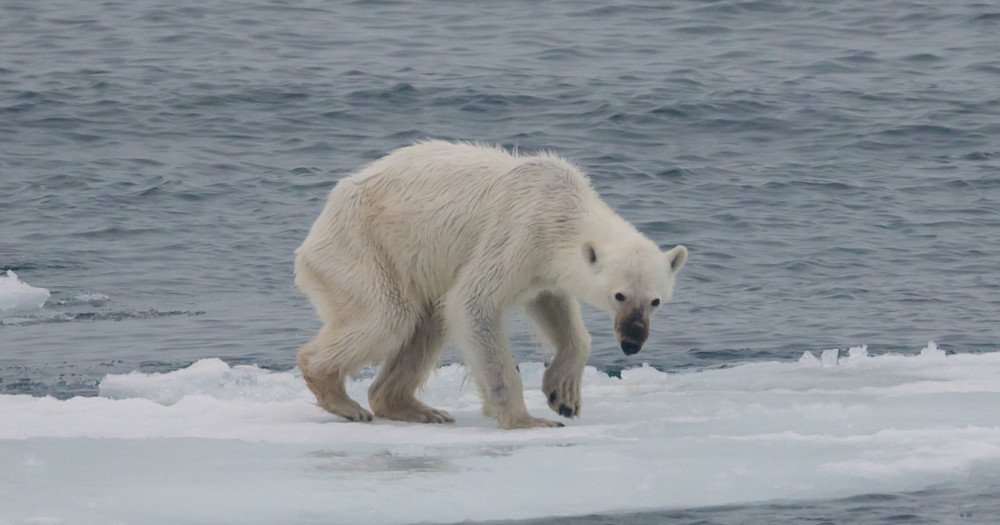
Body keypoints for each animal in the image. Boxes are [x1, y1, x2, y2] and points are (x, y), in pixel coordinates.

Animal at [294, 141, 688, 428]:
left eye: (655, 301)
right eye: (619, 295)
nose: (632, 342)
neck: (561, 208)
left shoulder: (542, 266)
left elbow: (554, 307)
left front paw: (563, 395)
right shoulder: (518, 233)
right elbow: (474, 303)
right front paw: (527, 420)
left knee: (428, 322)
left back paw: (418, 409)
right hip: (362, 247)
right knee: (389, 316)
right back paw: (343, 399)